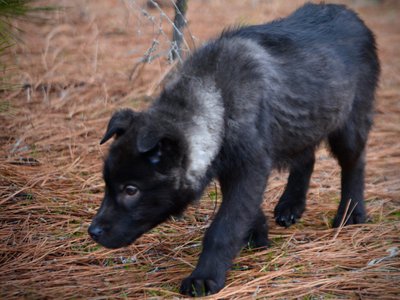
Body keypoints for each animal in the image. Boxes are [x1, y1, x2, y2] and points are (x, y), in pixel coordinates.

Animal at [89, 3, 380, 296]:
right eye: (108, 185)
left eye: (131, 190)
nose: (93, 232)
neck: (217, 97)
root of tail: (347, 12)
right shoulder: (232, 168)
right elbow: (246, 211)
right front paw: (257, 235)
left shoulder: (249, 168)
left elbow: (224, 227)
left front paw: (205, 277)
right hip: (302, 123)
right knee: (306, 158)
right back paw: (291, 205)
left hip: (349, 125)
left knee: (354, 164)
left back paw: (352, 213)